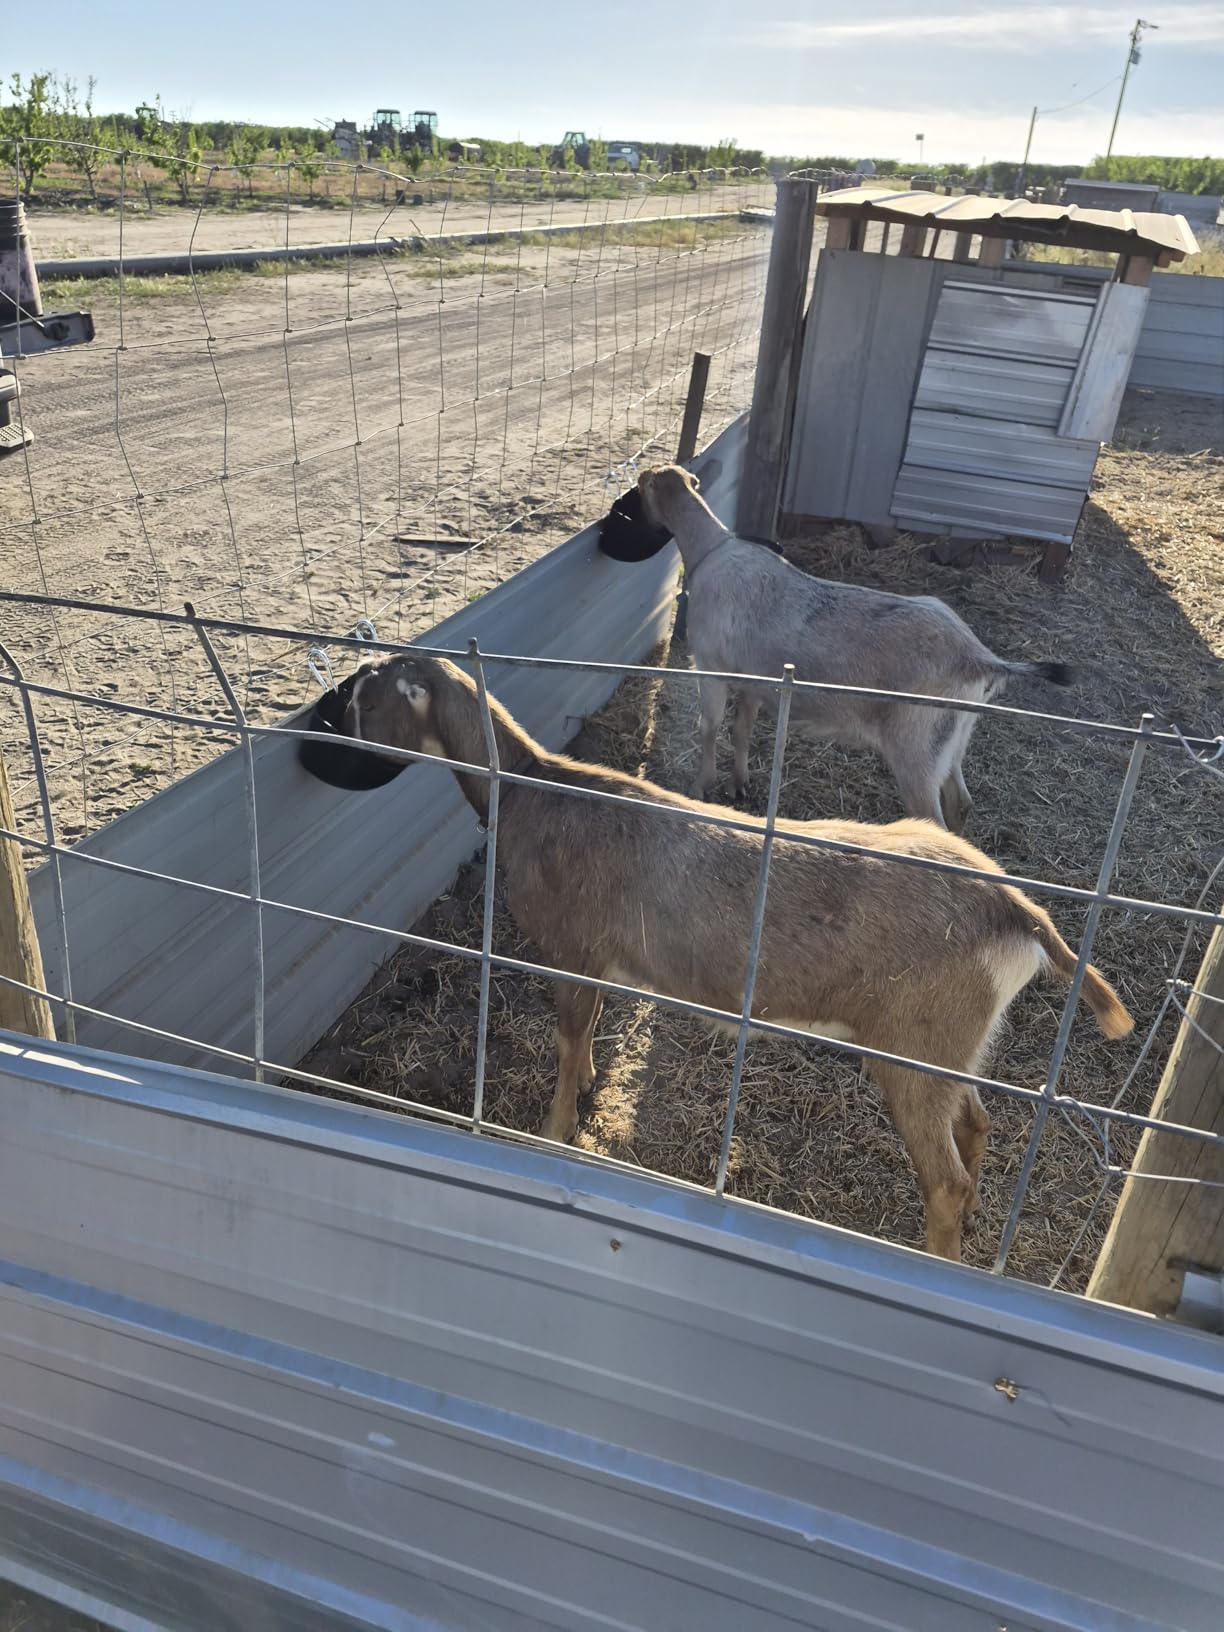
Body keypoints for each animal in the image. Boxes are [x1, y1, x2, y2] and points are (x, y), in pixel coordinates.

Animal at [331, 652, 1133, 1261]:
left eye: (365, 699)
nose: (332, 741)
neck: (533, 790)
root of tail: (1016, 909)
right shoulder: (598, 961)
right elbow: (586, 1031)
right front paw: (587, 1083)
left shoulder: (572, 948)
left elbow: (566, 1040)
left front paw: (554, 1132)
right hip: (951, 1044)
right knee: (975, 1125)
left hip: (914, 1044)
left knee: (946, 1177)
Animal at [636, 465, 1075, 831]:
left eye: (642, 487)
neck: (712, 550)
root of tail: (982, 659)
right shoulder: (753, 679)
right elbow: (740, 729)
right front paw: (737, 785)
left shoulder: (710, 664)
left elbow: (708, 727)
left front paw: (700, 788)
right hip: (952, 738)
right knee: (961, 802)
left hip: (916, 748)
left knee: (932, 817)